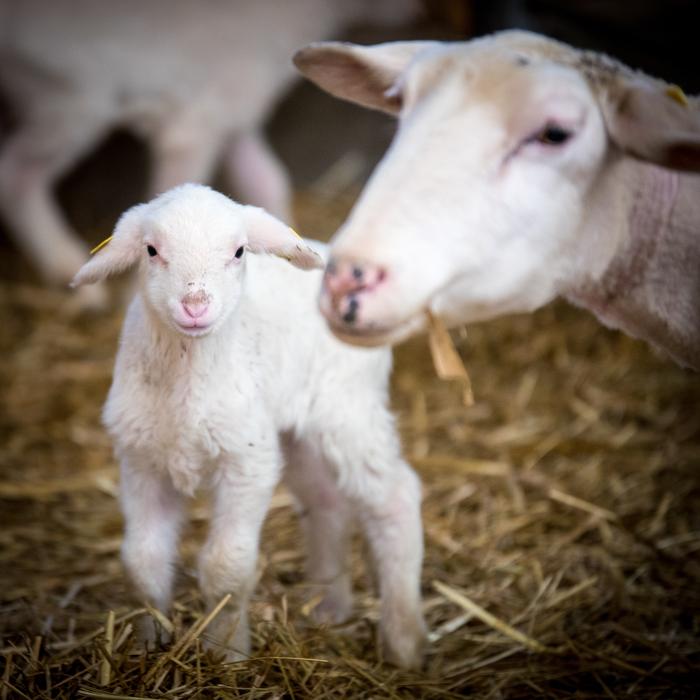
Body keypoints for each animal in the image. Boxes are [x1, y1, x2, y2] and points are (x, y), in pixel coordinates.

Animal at [0, 0, 418, 308]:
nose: (412, 9)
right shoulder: (194, 122)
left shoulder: (232, 113)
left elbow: (265, 180)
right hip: (69, 98)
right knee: (16, 174)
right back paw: (70, 272)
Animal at [70, 184, 426, 669]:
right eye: (151, 250)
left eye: (239, 251)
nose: (195, 305)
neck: (187, 384)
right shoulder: (141, 461)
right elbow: (142, 564)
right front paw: (147, 646)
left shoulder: (246, 460)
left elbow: (226, 566)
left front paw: (227, 654)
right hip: (297, 433)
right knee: (327, 501)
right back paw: (329, 607)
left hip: (347, 408)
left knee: (396, 496)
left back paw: (403, 641)